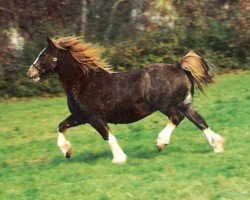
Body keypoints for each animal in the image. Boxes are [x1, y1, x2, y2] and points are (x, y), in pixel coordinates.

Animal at [27, 36, 225, 164]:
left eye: (43, 55)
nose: (31, 72)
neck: (84, 82)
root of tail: (179, 67)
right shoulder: (79, 117)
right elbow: (61, 126)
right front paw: (67, 151)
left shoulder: (94, 117)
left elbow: (107, 135)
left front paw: (119, 159)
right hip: (185, 104)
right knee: (199, 121)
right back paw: (217, 146)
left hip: (168, 106)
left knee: (177, 118)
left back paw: (161, 142)